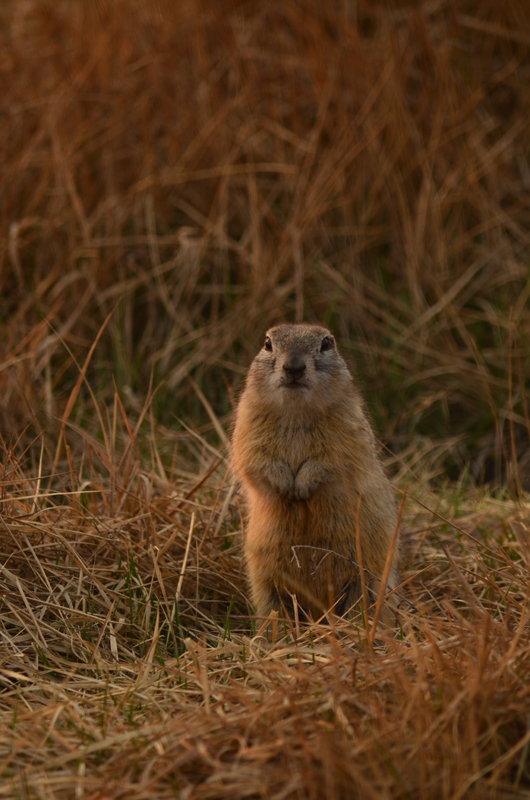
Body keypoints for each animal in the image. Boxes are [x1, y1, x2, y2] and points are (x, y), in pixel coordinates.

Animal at [229, 324, 398, 624]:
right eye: (267, 343)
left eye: (326, 343)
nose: (293, 367)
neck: (296, 410)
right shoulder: (247, 429)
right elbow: (257, 460)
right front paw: (287, 487)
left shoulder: (347, 432)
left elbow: (331, 462)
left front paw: (301, 488)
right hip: (266, 584)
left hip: (368, 581)